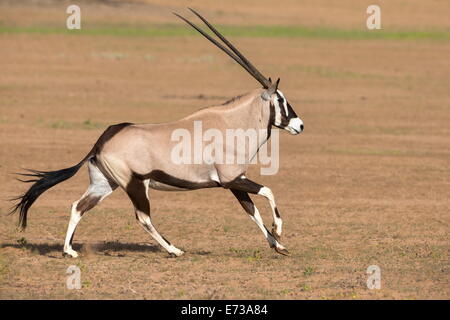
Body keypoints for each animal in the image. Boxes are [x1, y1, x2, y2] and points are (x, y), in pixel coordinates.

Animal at [10, 8, 304, 258]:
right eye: (280, 99)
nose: (299, 125)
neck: (231, 123)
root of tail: (101, 141)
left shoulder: (233, 183)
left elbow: (251, 211)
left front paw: (279, 246)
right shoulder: (232, 179)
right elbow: (267, 192)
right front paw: (278, 231)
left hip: (105, 183)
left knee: (78, 206)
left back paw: (69, 251)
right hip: (135, 184)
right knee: (143, 217)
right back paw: (174, 250)